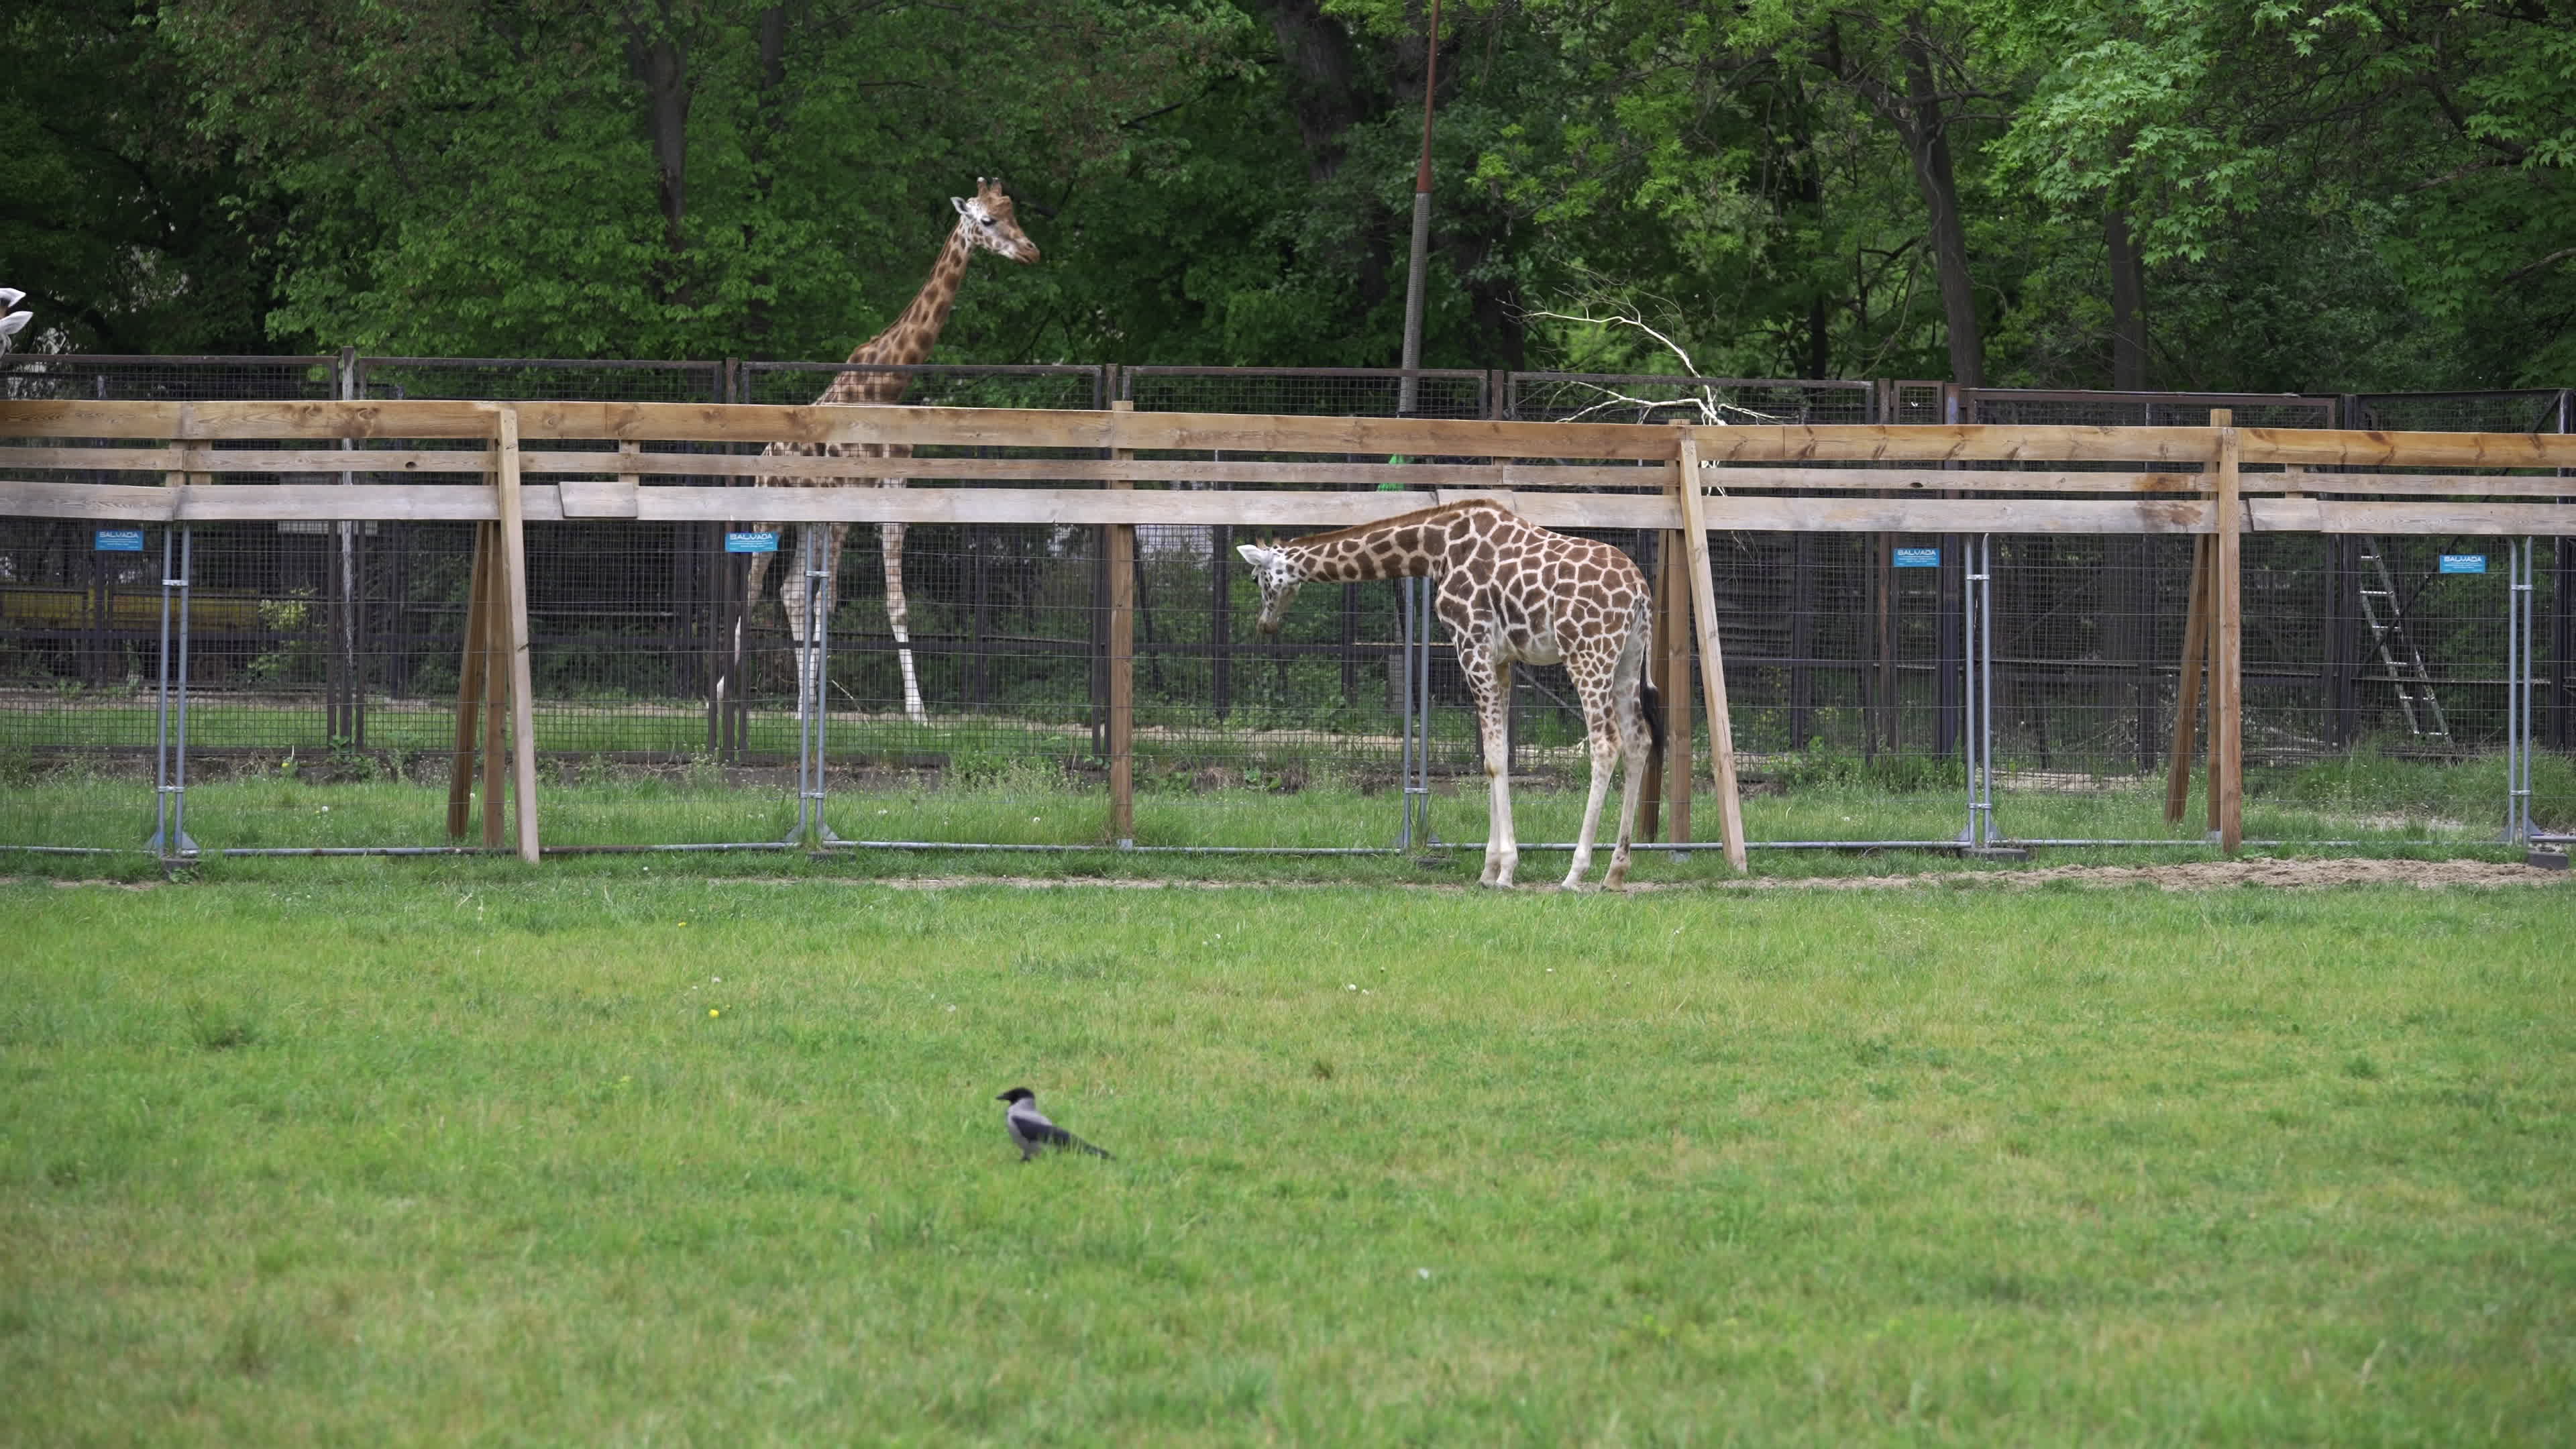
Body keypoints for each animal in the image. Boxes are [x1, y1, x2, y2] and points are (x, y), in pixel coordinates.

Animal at [744, 178, 1040, 724]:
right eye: (987, 220)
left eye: (1015, 214)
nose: (1031, 251)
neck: (884, 386)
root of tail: (763, 457)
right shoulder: (842, 501)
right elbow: (829, 601)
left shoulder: (892, 489)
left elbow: (893, 604)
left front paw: (916, 711)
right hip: (770, 511)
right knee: (756, 589)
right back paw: (728, 693)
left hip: (804, 519)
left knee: (790, 591)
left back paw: (798, 705)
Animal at [1237, 500, 1665, 890]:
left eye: (1259, 580)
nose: (1265, 624)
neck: (1436, 549)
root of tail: (1640, 591)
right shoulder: (1502, 660)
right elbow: (1495, 758)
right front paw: (1490, 870)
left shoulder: (1470, 645)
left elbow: (1494, 758)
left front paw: (1506, 871)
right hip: (1627, 658)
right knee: (1638, 740)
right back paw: (1616, 872)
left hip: (1588, 654)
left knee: (1606, 743)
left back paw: (1576, 873)